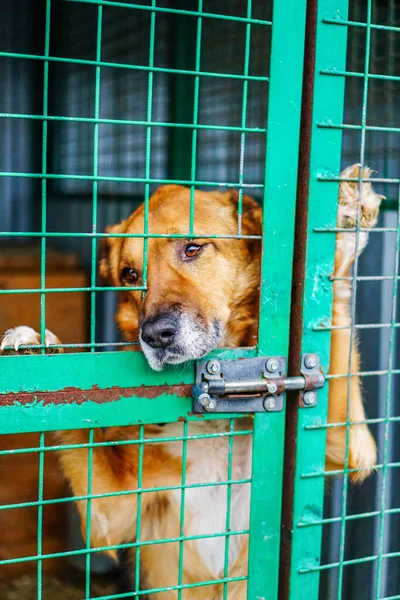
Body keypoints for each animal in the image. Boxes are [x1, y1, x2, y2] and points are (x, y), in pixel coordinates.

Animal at [0, 163, 382, 596]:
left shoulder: (348, 443)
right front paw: (42, 355)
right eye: (130, 274)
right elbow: (74, 421)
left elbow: (324, 330)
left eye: (193, 249)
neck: (213, 421)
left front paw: (343, 223)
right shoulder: (110, 513)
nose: (155, 335)